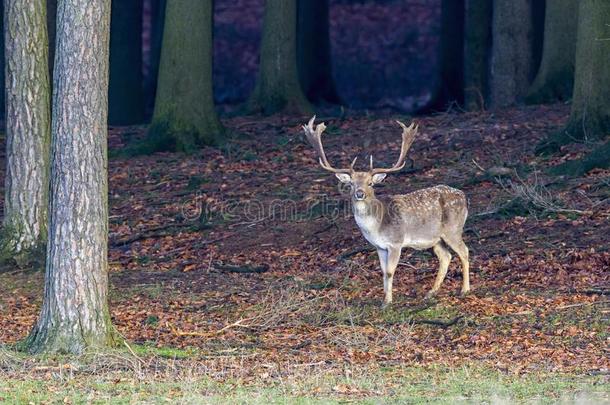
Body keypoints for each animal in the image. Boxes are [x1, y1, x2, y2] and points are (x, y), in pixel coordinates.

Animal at [302, 117, 468, 306]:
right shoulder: (379, 247)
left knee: (464, 251)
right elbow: (382, 272)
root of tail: (463, 196)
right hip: (435, 238)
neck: (377, 226)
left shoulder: (395, 242)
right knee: (446, 256)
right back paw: (431, 293)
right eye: (351, 184)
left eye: (370, 183)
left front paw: (388, 302)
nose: (360, 193)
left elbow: (389, 271)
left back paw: (464, 290)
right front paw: (384, 299)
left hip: (453, 228)